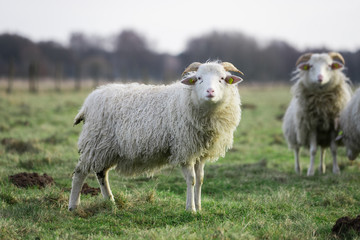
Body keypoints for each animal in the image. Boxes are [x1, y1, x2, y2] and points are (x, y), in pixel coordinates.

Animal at [68, 61, 245, 212]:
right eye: (199, 78)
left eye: (222, 79)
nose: (210, 91)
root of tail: (88, 103)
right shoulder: (185, 149)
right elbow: (192, 179)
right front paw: (191, 209)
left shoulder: (200, 152)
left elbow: (200, 179)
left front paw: (199, 207)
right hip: (94, 141)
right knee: (80, 172)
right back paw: (73, 206)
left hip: (105, 148)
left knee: (101, 173)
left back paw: (110, 202)